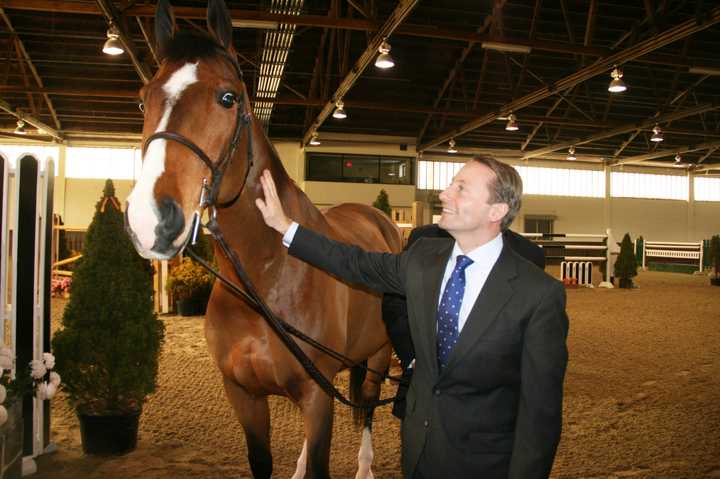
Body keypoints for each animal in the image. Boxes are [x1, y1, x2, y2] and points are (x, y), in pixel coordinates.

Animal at [126, 0, 402, 479]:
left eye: (228, 98)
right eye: (145, 98)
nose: (151, 218)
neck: (267, 277)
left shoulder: (317, 395)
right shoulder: (244, 394)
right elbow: (263, 461)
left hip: (379, 354)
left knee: (367, 404)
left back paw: (365, 466)